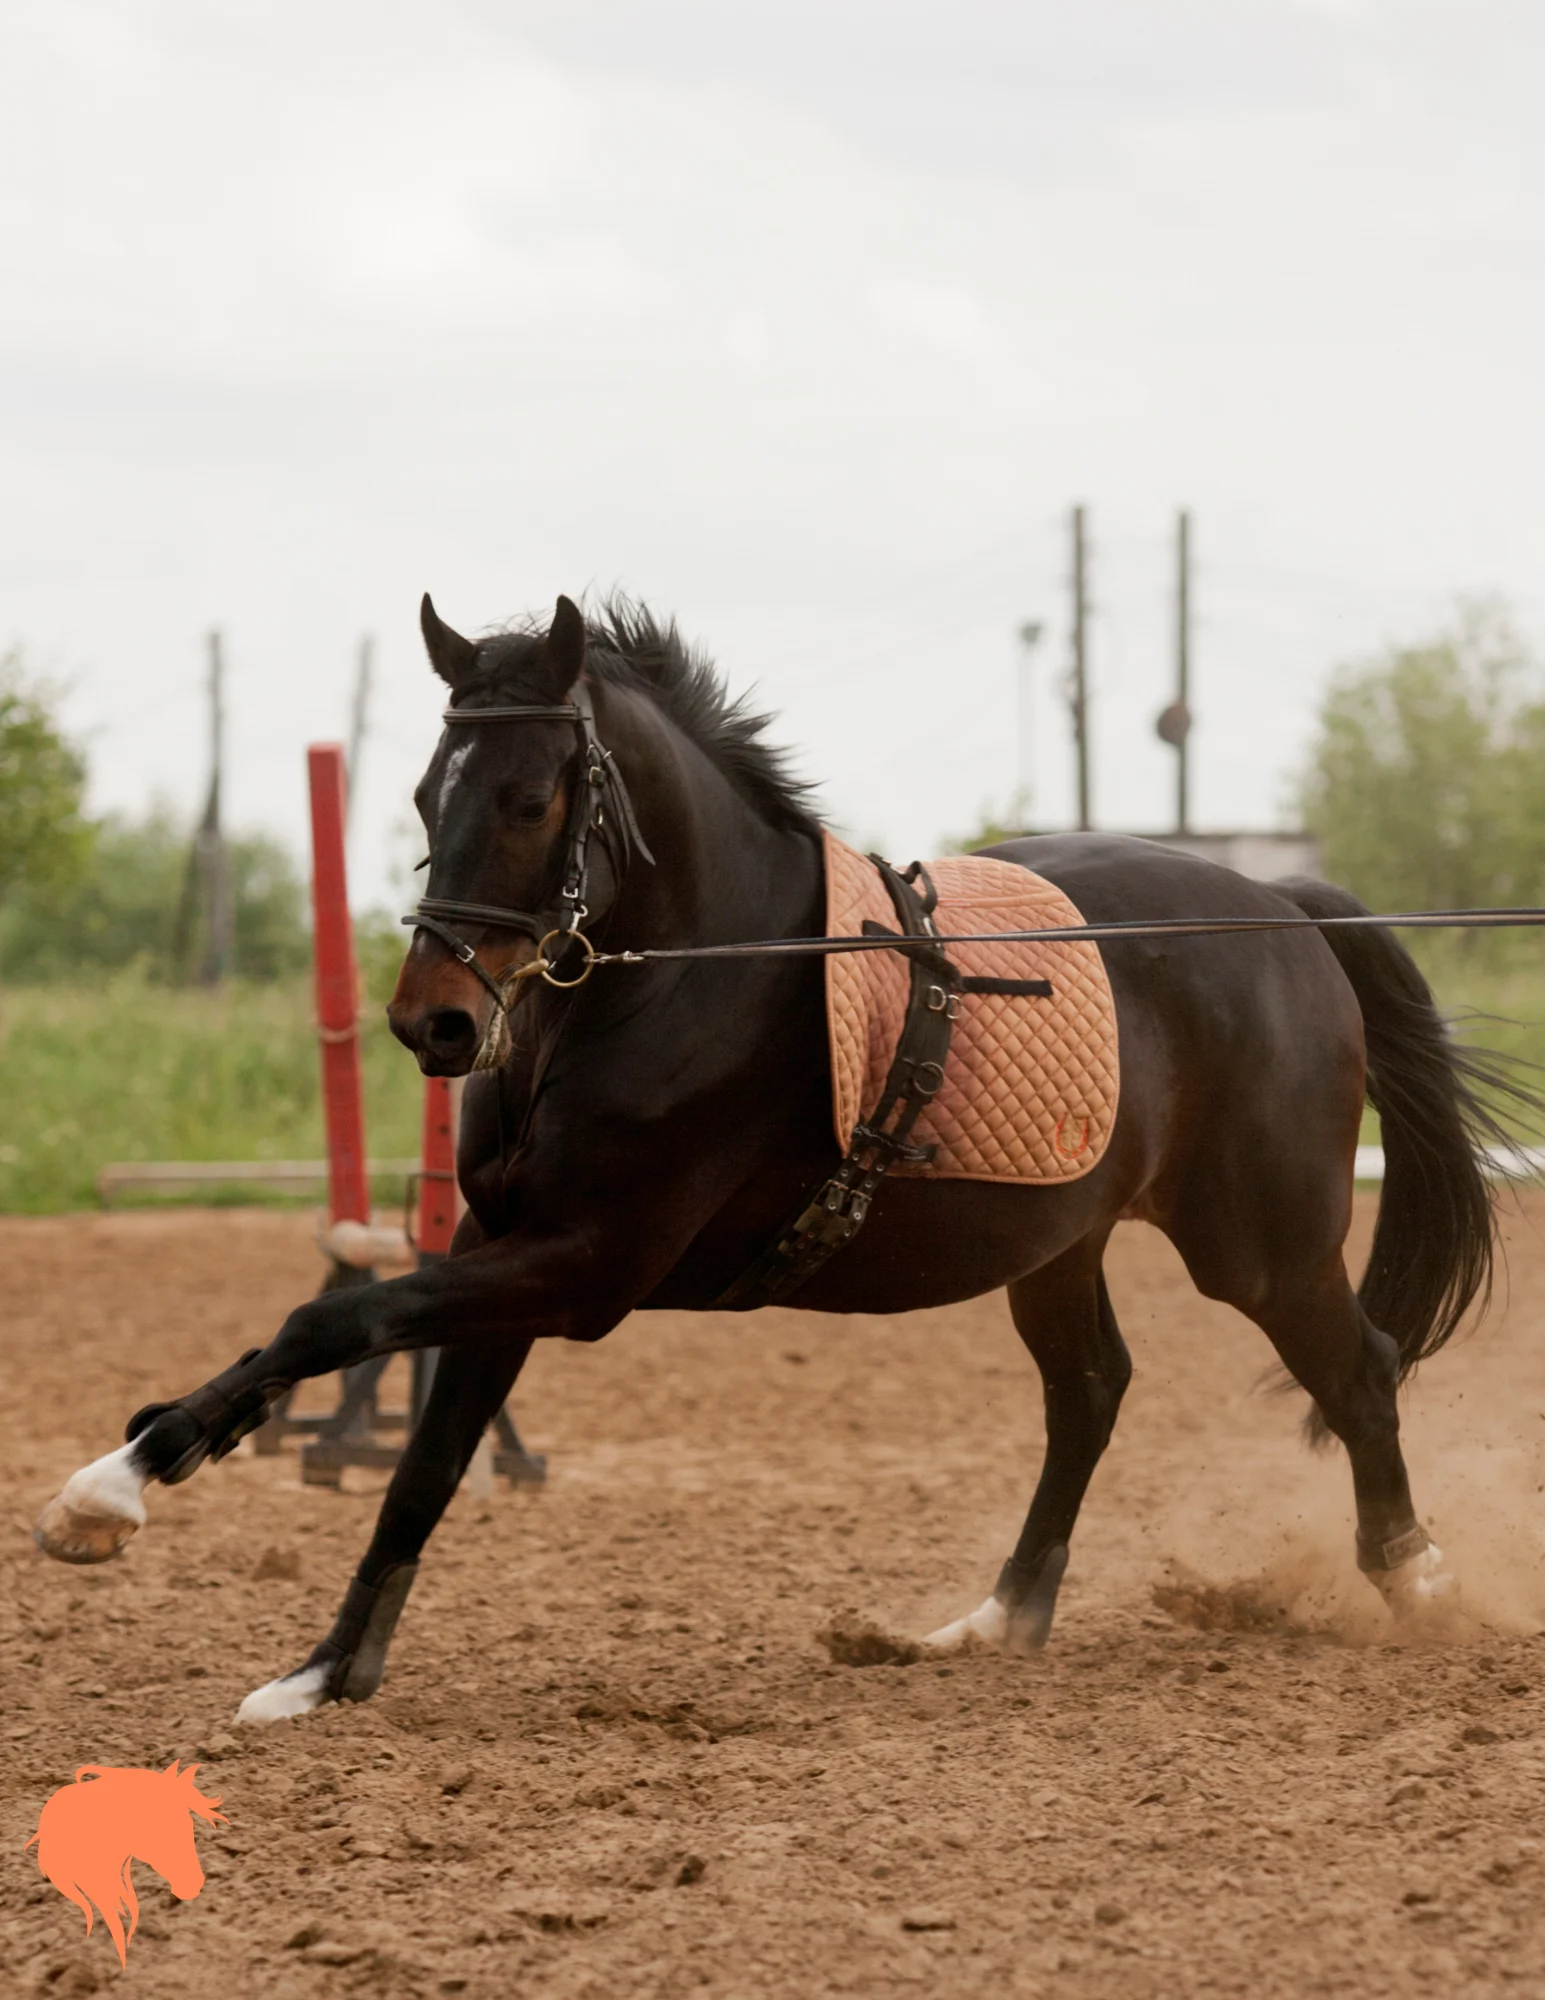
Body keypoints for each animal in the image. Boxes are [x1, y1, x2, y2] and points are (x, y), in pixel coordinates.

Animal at [35, 593, 1527, 1721]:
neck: (682, 971)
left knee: (1358, 1371)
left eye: (531, 798)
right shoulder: (498, 1256)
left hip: (1257, 1242)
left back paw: (1419, 1584)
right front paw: (323, 1672)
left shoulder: (582, 1269)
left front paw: (112, 1490)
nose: (433, 1023)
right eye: (419, 791)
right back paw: (994, 1619)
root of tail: (1281, 908)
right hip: (1057, 1239)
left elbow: (329, 1318)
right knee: (1094, 1389)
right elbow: (422, 1463)